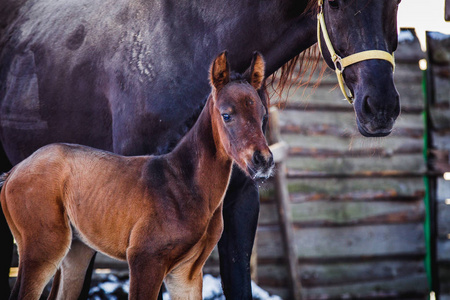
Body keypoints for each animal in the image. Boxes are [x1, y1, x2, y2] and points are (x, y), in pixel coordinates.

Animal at [0, 50, 274, 298]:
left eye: (263, 115)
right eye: (227, 115)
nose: (263, 160)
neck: (184, 183)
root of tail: (14, 171)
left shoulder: (186, 275)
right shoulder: (145, 260)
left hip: (75, 252)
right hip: (44, 246)